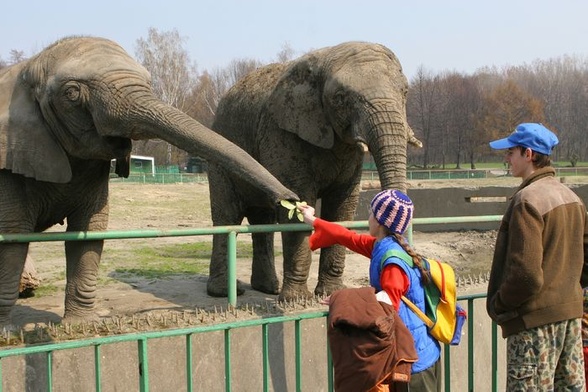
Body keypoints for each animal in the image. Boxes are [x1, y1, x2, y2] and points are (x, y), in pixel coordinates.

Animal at [0, 36, 298, 328]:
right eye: (71, 93)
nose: (292, 199)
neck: (27, 67)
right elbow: (13, 237)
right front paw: (10, 334)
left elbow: (88, 232)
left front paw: (81, 328)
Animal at [207, 41, 422, 300]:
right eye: (340, 99)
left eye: (405, 92)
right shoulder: (281, 133)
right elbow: (296, 204)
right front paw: (296, 300)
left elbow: (342, 207)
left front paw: (331, 293)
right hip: (220, 156)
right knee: (227, 215)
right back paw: (223, 292)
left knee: (262, 219)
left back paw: (268, 288)